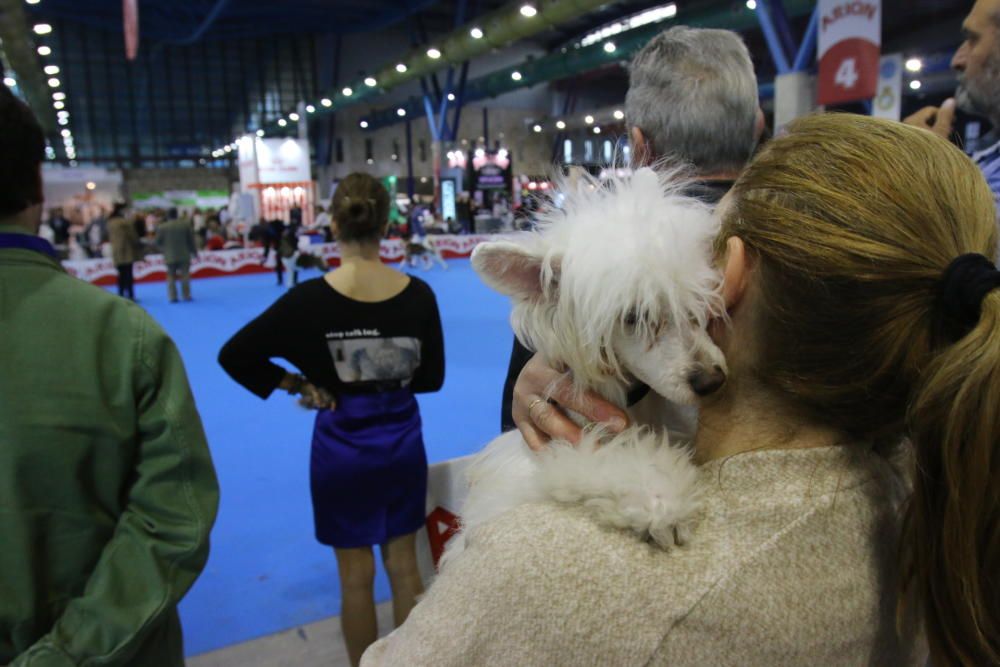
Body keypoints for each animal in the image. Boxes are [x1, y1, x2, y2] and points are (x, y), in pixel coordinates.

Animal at [446, 170, 728, 568]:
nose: (711, 381)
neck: (635, 402)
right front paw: (659, 500)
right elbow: (600, 460)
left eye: (694, 300)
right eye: (633, 317)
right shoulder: (566, 449)